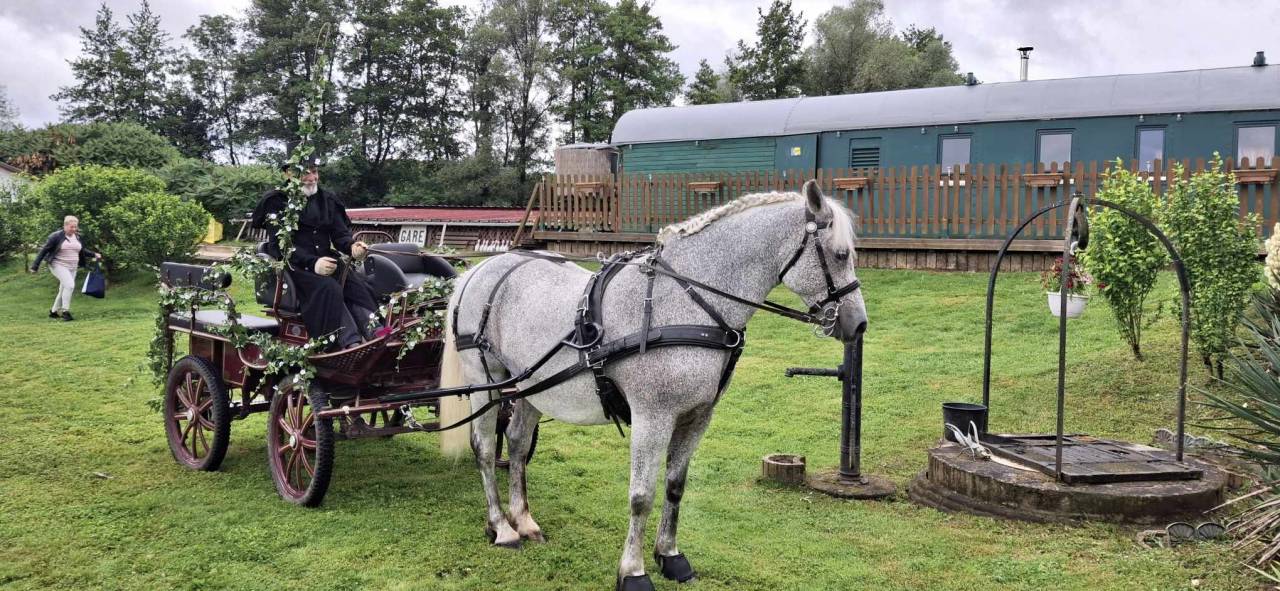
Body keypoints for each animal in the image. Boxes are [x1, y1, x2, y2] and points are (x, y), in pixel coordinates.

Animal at [436, 180, 867, 590]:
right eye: (840, 255)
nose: (858, 323)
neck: (687, 302)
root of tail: (482, 269)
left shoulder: (697, 417)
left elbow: (675, 486)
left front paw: (670, 556)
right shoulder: (652, 416)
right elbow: (641, 497)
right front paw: (633, 572)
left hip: (532, 386)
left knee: (518, 443)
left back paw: (523, 519)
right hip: (485, 380)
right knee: (484, 447)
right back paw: (501, 527)